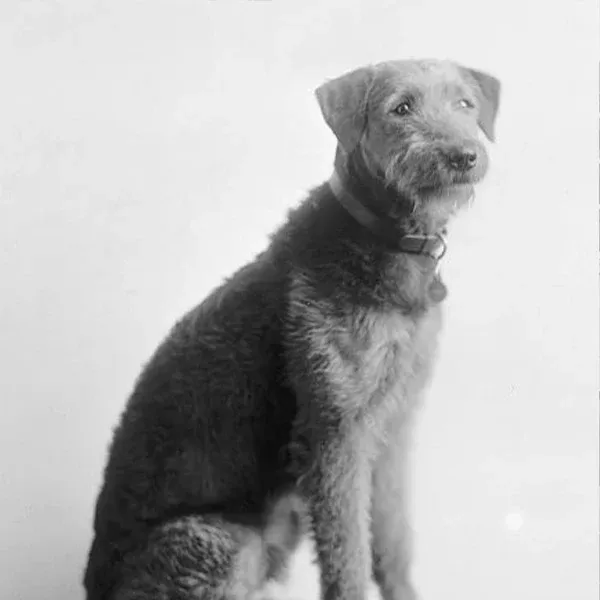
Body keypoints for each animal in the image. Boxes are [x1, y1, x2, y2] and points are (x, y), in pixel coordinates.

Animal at [82, 57, 500, 600]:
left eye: (465, 103)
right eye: (401, 107)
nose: (463, 156)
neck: (387, 241)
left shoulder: (394, 424)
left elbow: (392, 546)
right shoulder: (334, 430)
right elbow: (348, 559)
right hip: (223, 543)